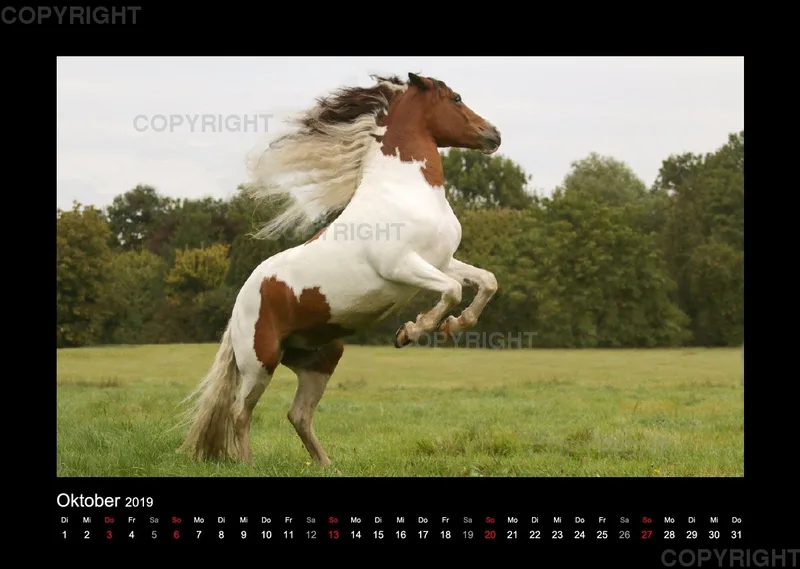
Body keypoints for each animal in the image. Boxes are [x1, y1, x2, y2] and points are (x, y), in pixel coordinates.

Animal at [177, 72, 502, 467]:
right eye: (455, 98)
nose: (494, 135)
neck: (403, 193)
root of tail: (241, 302)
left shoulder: (441, 262)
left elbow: (486, 282)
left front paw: (454, 325)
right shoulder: (402, 265)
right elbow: (452, 291)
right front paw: (410, 332)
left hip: (321, 359)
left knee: (298, 414)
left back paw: (326, 465)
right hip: (260, 363)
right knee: (241, 411)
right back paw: (249, 464)